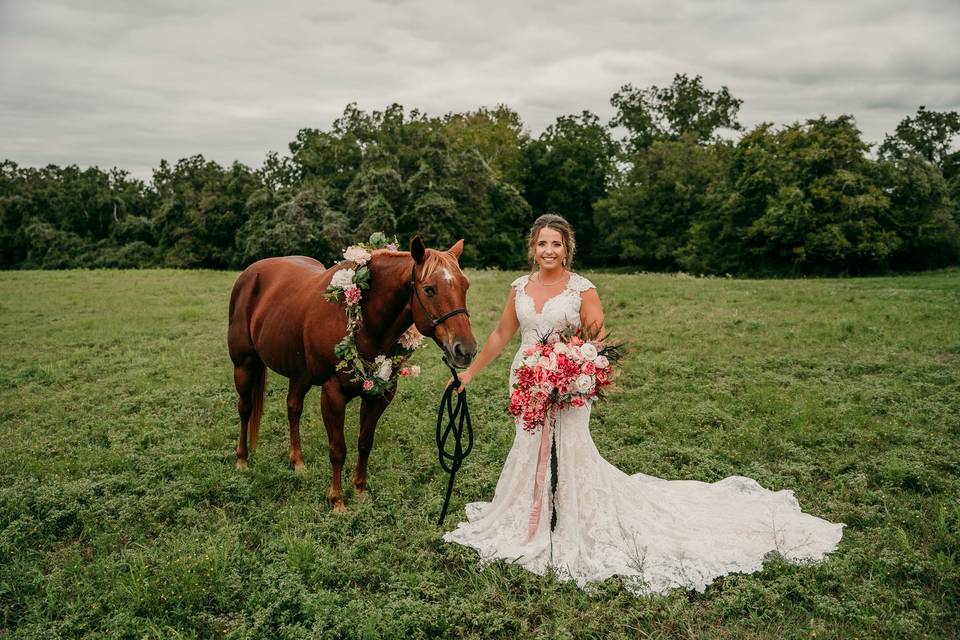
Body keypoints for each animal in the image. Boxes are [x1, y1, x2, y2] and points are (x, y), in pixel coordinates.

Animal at [229, 235, 476, 510]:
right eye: (430, 289)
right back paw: (242, 460)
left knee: (293, 408)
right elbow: (338, 449)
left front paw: (359, 490)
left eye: (465, 286)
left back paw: (298, 462)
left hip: (300, 374)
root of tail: (250, 273)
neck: (363, 321)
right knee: (245, 408)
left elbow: (365, 443)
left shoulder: (380, 394)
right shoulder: (333, 395)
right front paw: (337, 500)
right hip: (243, 364)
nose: (465, 350)